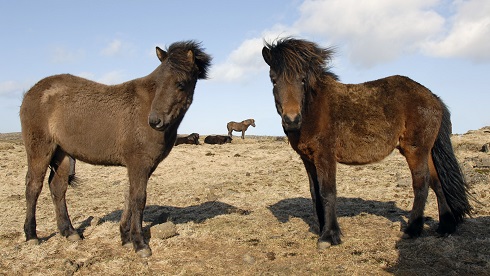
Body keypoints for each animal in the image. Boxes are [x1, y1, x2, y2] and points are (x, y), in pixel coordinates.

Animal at [20, 40, 212, 258]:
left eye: (180, 84)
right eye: (158, 83)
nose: (155, 121)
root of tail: (32, 91)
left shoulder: (143, 166)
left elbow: (129, 196)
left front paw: (125, 238)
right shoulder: (138, 163)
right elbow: (138, 199)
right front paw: (139, 243)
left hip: (63, 154)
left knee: (57, 187)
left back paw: (69, 231)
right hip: (40, 150)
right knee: (33, 187)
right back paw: (32, 235)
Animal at [262, 37, 472, 250]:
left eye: (303, 79)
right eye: (273, 80)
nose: (291, 120)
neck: (313, 110)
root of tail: (433, 97)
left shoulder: (325, 156)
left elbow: (327, 192)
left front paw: (329, 236)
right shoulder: (307, 158)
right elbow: (315, 194)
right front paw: (321, 230)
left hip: (415, 150)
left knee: (421, 183)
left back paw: (413, 229)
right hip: (425, 151)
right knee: (437, 183)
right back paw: (445, 227)